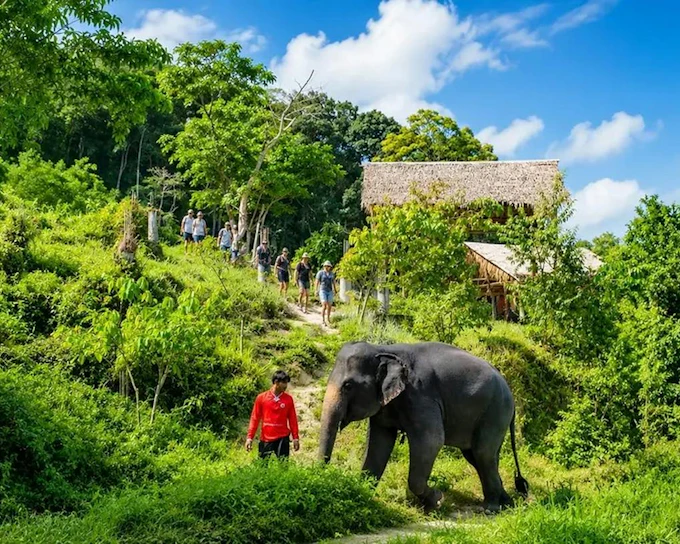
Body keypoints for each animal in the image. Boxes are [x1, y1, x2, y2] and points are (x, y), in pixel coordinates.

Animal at [318, 341, 529, 512]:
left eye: (348, 386)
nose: (324, 474)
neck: (384, 349)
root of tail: (510, 392)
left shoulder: (420, 395)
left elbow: (431, 441)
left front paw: (437, 501)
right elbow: (379, 443)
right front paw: (362, 493)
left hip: (495, 410)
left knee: (482, 453)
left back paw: (491, 509)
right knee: (478, 456)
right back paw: (507, 504)